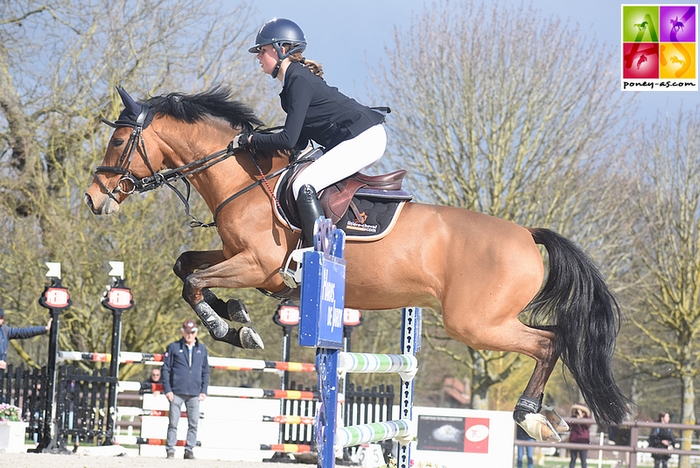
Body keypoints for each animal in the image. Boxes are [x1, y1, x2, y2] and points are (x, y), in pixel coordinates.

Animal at [85, 87, 632, 442]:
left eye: (119, 142)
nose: (94, 199)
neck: (242, 178)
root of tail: (526, 233)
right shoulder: (241, 258)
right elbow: (186, 266)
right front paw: (237, 320)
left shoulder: (258, 265)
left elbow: (194, 281)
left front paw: (227, 326)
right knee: (552, 340)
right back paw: (546, 418)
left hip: (475, 323)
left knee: (549, 342)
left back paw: (533, 417)